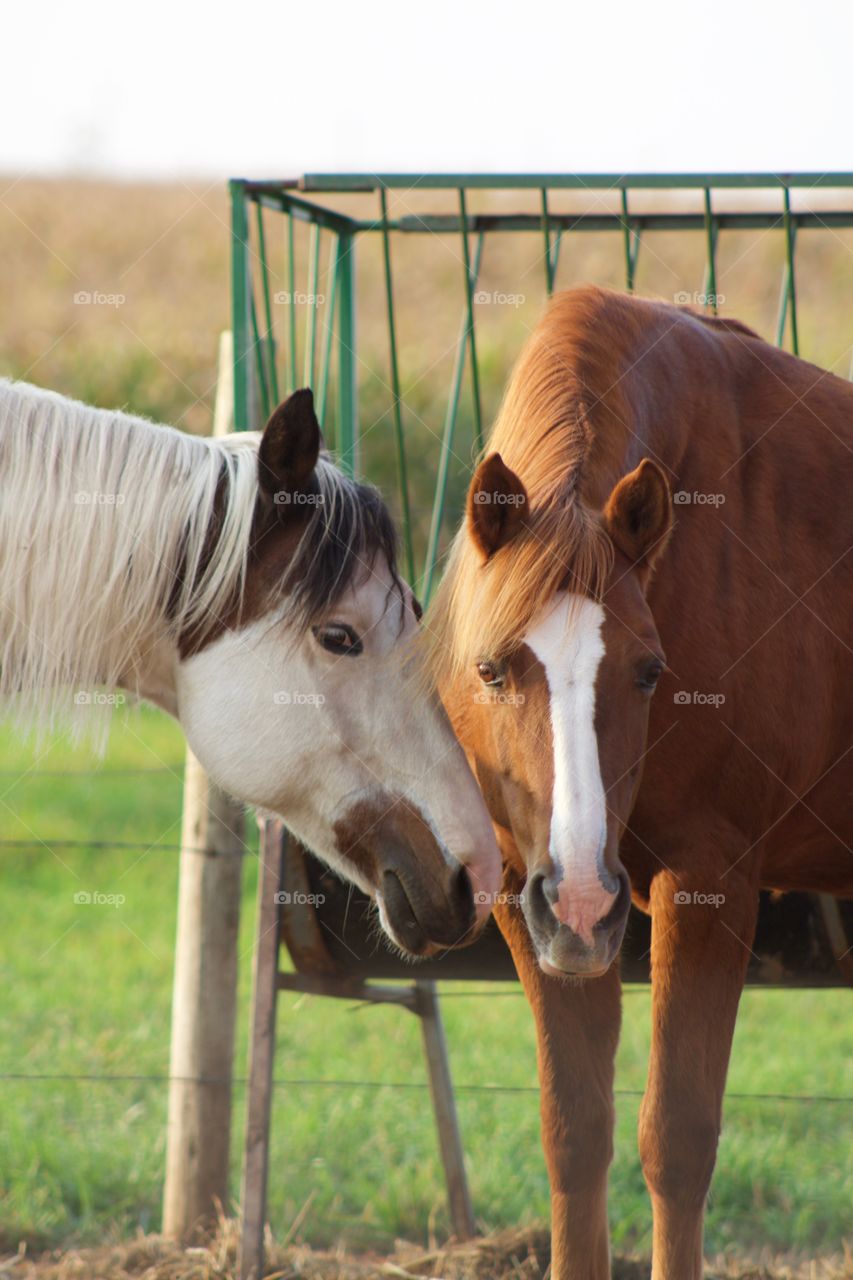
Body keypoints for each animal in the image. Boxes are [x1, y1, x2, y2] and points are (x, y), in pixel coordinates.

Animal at [432, 290, 850, 1280]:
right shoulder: (525, 894)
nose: (583, 898)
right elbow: (574, 1135)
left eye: (650, 672)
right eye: (491, 670)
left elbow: (678, 1142)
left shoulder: (709, 884)